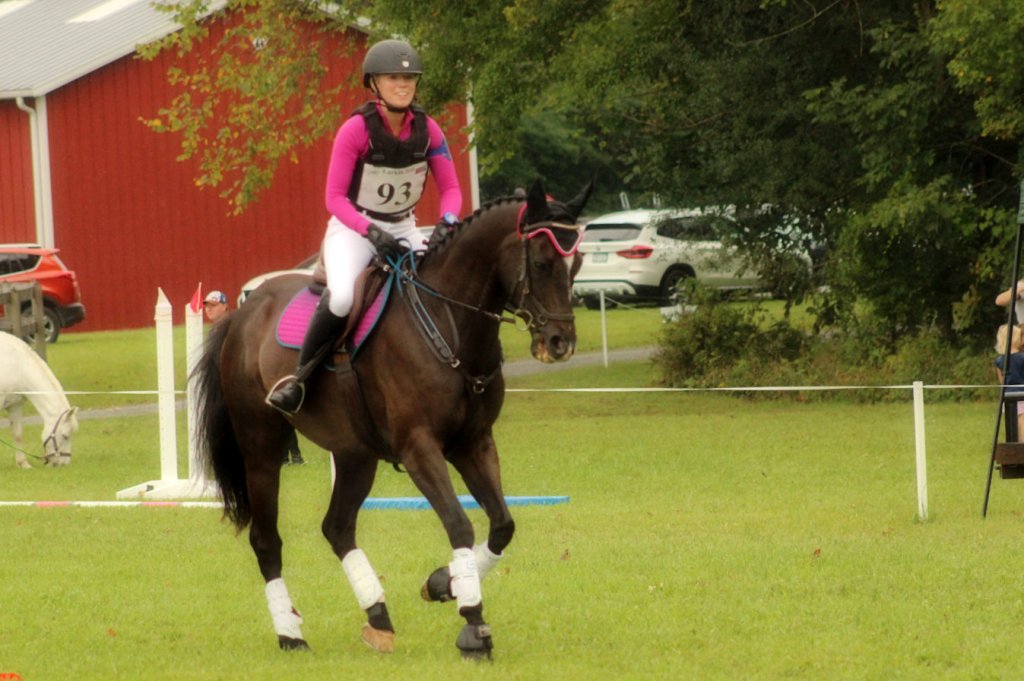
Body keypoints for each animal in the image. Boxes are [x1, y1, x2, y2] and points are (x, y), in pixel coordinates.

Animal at [0, 332, 79, 468]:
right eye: (65, 436)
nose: (63, 464)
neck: (15, 365)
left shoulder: (15, 405)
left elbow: (17, 434)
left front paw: (23, 464)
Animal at [193, 179, 592, 658]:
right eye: (544, 262)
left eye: (578, 263)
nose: (560, 343)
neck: (447, 324)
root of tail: (243, 312)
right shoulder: (420, 448)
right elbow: (458, 523)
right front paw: (473, 623)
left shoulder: (474, 443)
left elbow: (502, 524)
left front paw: (444, 584)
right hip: (261, 447)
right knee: (266, 539)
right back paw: (291, 633)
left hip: (355, 454)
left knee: (338, 527)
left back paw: (378, 617)